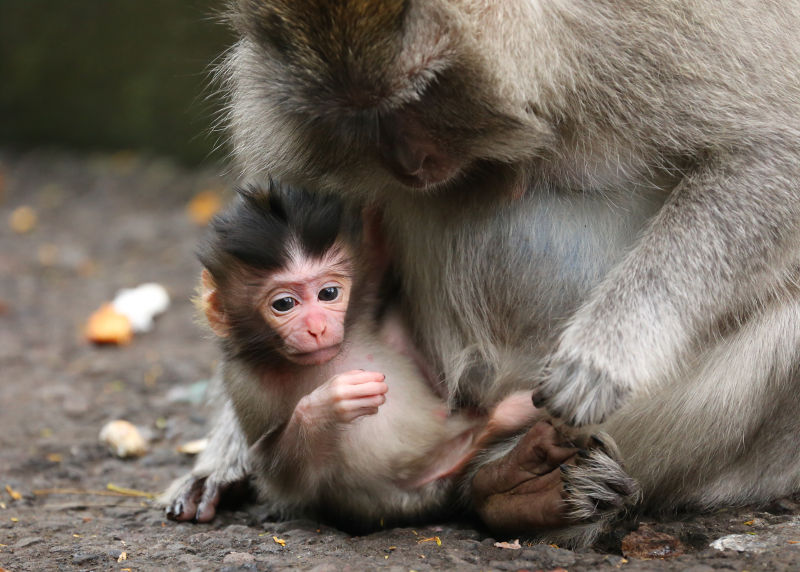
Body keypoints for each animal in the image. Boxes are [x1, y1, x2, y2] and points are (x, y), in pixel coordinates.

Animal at [162, 181, 536, 528]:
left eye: (328, 293)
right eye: (284, 304)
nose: (317, 327)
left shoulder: (364, 301)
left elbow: (376, 255)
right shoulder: (245, 385)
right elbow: (283, 475)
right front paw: (331, 402)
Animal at [219, 1, 800, 544]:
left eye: (422, 94)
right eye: (357, 116)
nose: (404, 161)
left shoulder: (652, 30)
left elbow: (771, 153)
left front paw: (604, 353)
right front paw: (228, 447)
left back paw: (516, 484)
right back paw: (514, 485)